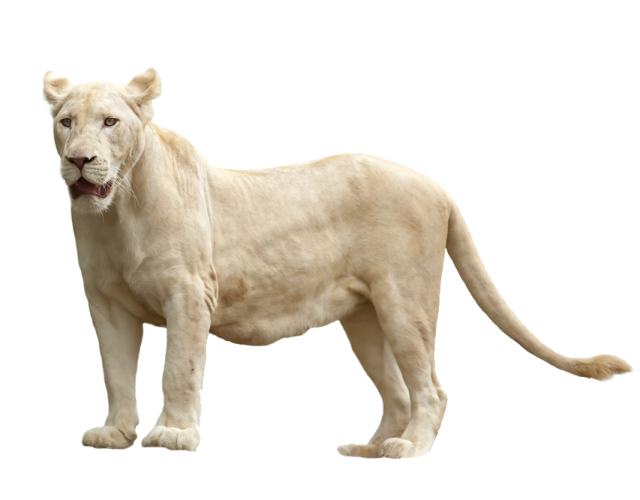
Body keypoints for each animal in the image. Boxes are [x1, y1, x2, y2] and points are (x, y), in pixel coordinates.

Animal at [42, 68, 634, 457]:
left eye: (110, 122)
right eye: (67, 122)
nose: (79, 160)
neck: (118, 215)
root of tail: (438, 187)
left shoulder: (189, 295)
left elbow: (178, 370)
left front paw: (172, 435)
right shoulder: (107, 305)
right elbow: (116, 370)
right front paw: (116, 434)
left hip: (404, 301)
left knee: (431, 388)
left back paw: (408, 447)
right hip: (365, 318)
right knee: (398, 392)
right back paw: (371, 448)